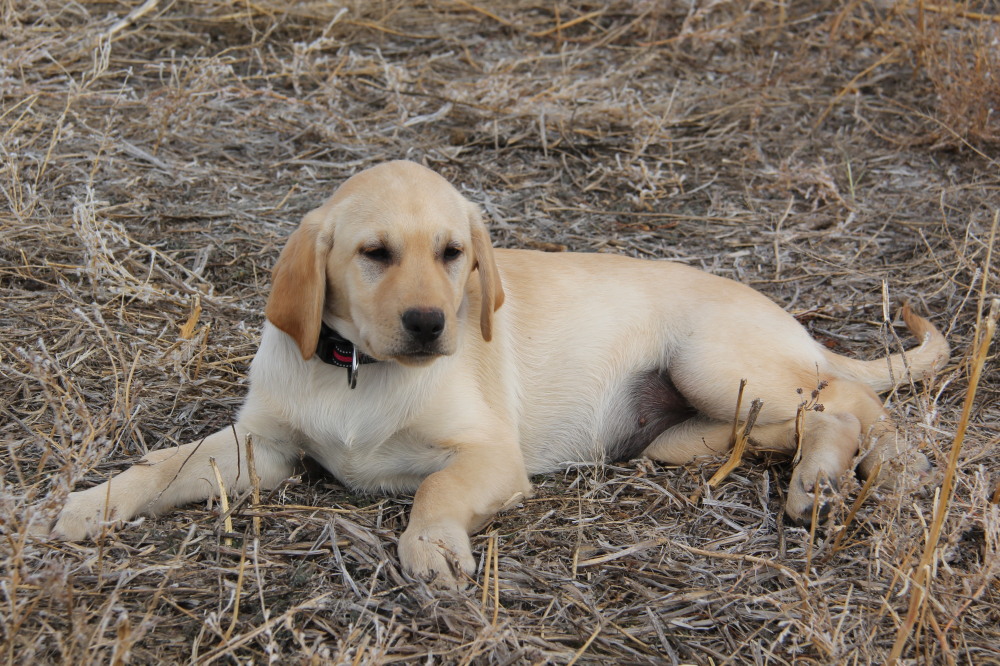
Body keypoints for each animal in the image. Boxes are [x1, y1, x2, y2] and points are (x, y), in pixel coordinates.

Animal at [52, 160, 944, 580]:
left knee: (849, 403)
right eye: (375, 254)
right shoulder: (261, 448)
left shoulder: (487, 453)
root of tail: (788, 321)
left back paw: (833, 479)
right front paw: (84, 507)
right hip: (701, 413)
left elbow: (438, 488)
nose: (430, 324)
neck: (360, 373)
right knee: (802, 416)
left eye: (453, 254)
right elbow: (165, 466)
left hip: (716, 360)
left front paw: (431, 544)